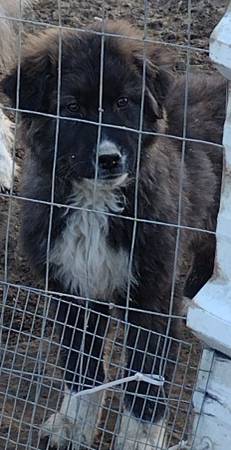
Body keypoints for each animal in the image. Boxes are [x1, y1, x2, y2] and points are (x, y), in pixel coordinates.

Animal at [1, 21, 226, 450]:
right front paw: (73, 424)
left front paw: (138, 439)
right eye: (73, 107)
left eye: (124, 102)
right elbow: (80, 365)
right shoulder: (71, 288)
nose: (109, 160)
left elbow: (145, 377)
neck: (95, 202)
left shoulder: (151, 294)